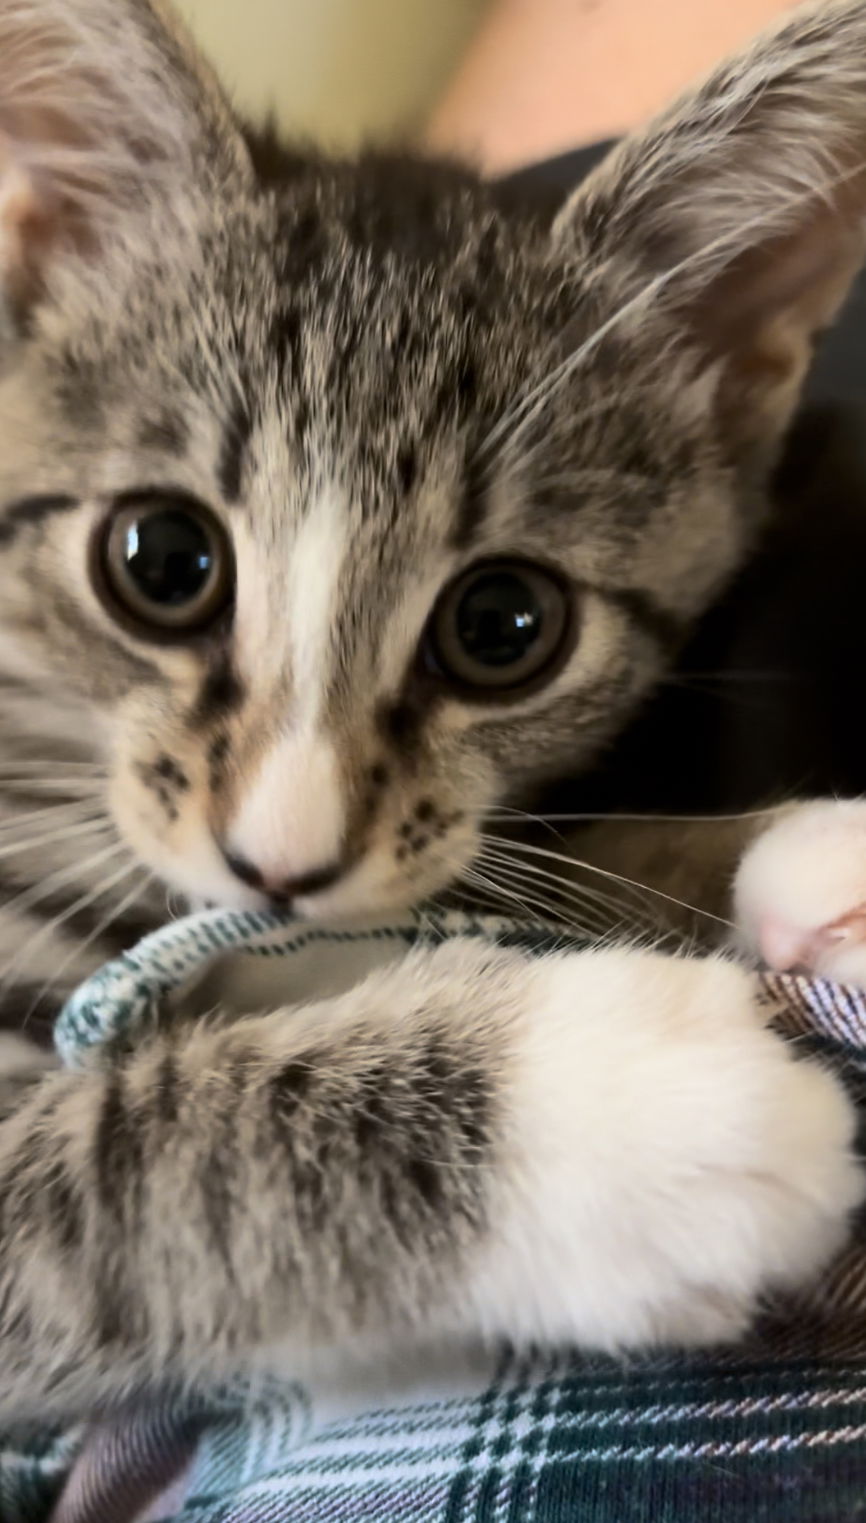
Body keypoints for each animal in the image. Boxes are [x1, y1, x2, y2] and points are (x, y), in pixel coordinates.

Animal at [0, 0, 858, 1419]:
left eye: (503, 626)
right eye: (162, 561)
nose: (280, 858)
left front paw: (793, 865)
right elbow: (130, 1156)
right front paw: (613, 1121)